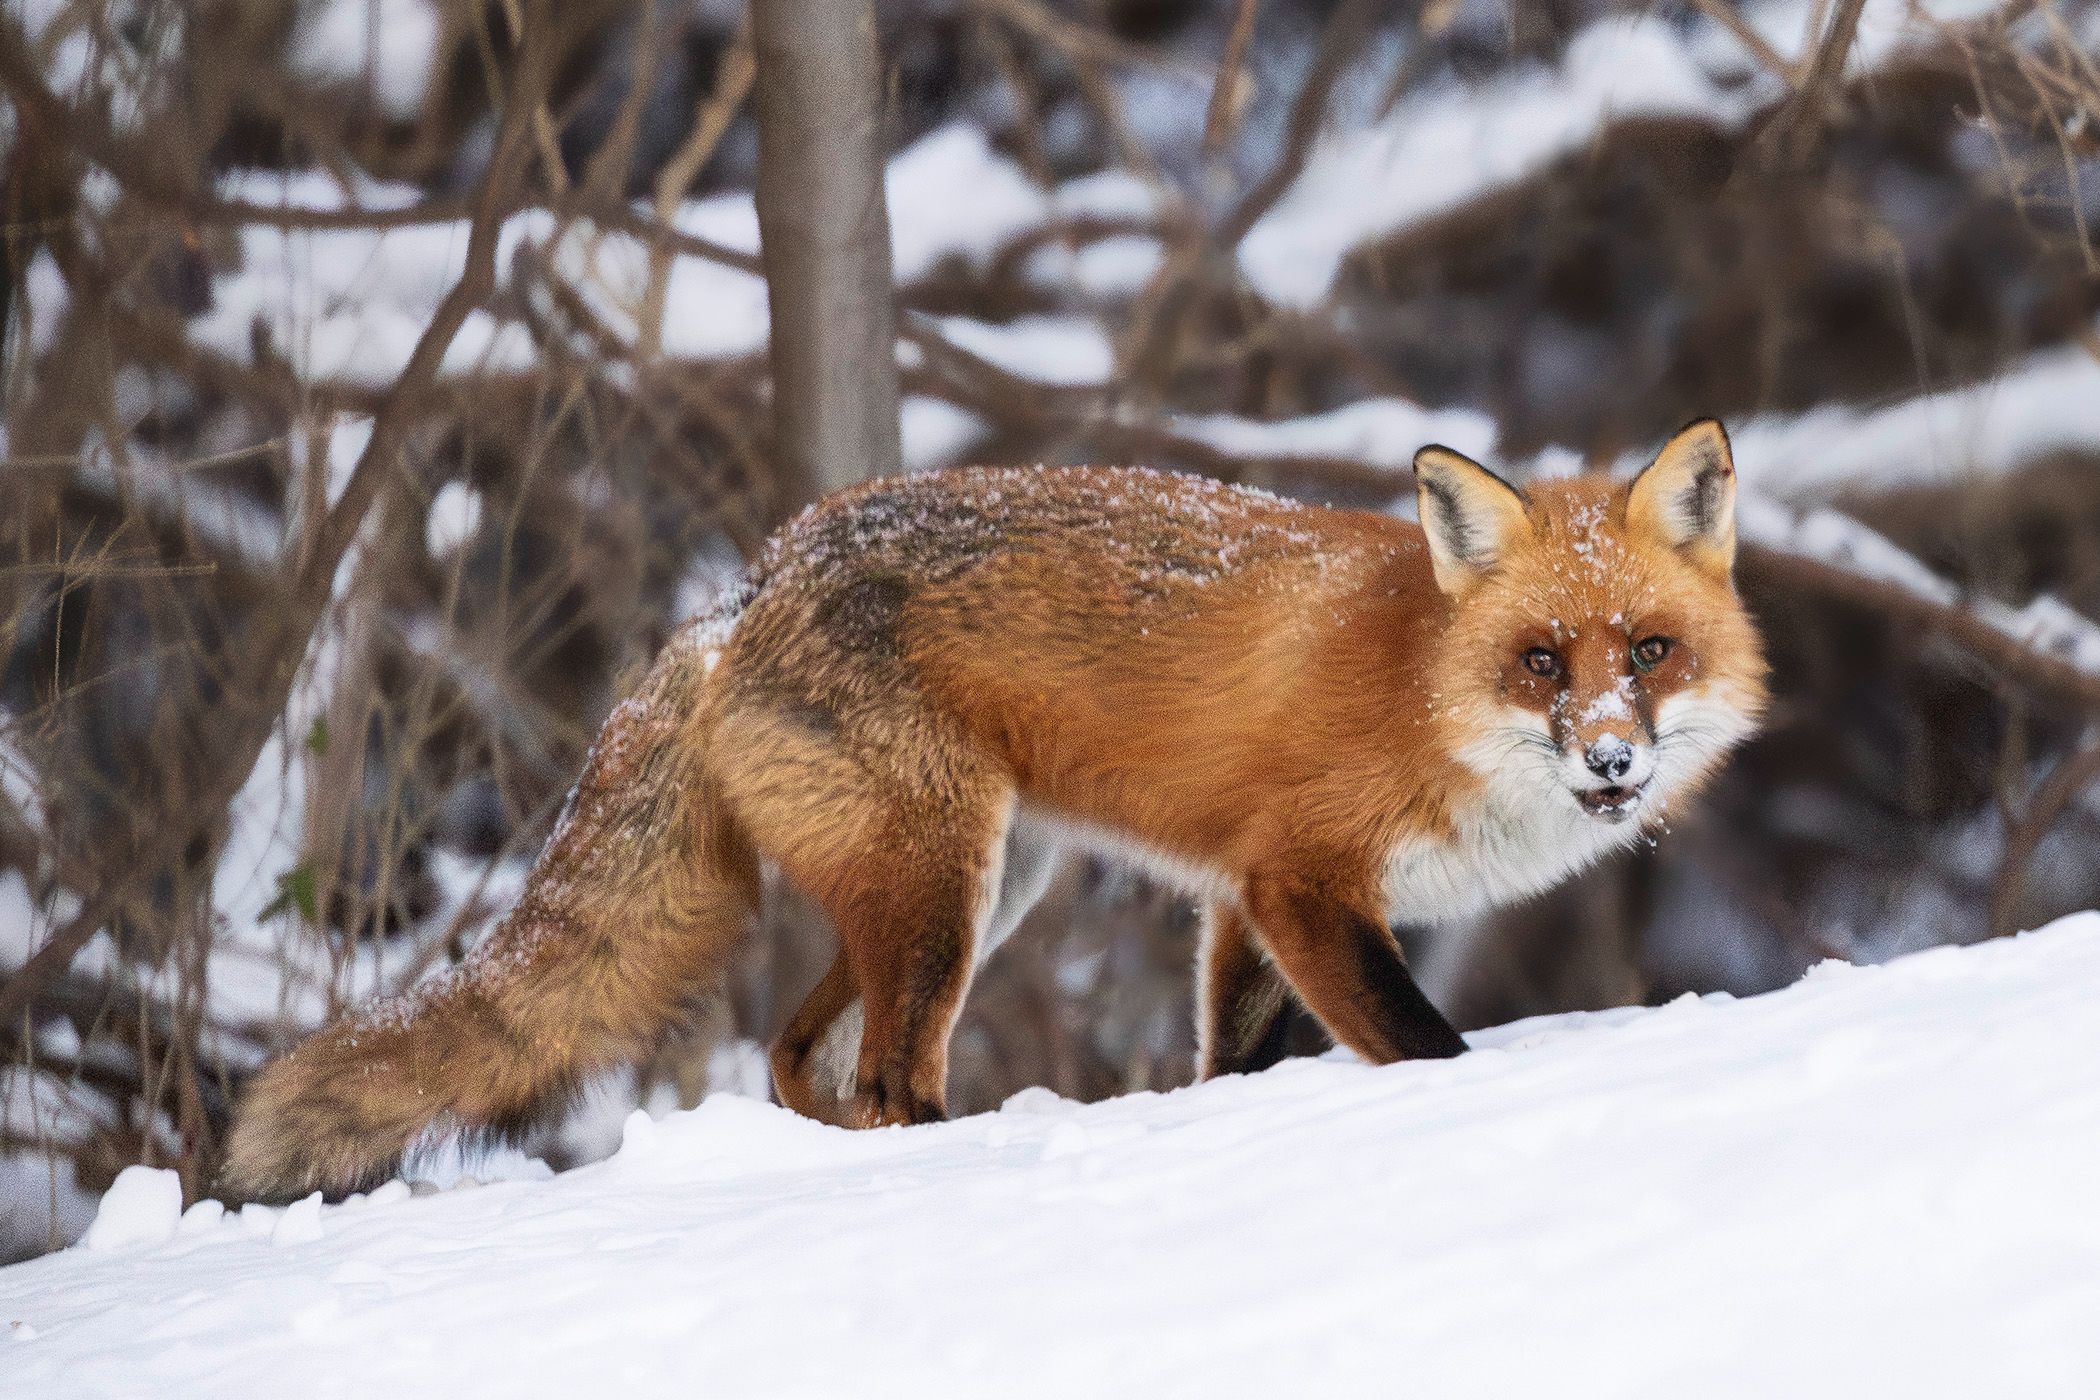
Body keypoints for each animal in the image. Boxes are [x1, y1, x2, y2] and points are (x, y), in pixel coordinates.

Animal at [222, 419, 1767, 1201]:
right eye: (1540, 663)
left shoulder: (1243, 903)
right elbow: (1425, 1048)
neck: (1427, 694)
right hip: (943, 892)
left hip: (966, 886)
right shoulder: (1301, 882)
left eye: (1648, 653)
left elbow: (1233, 1068)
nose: (1612, 762)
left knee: (795, 1055)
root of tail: (740, 595)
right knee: (888, 1081)